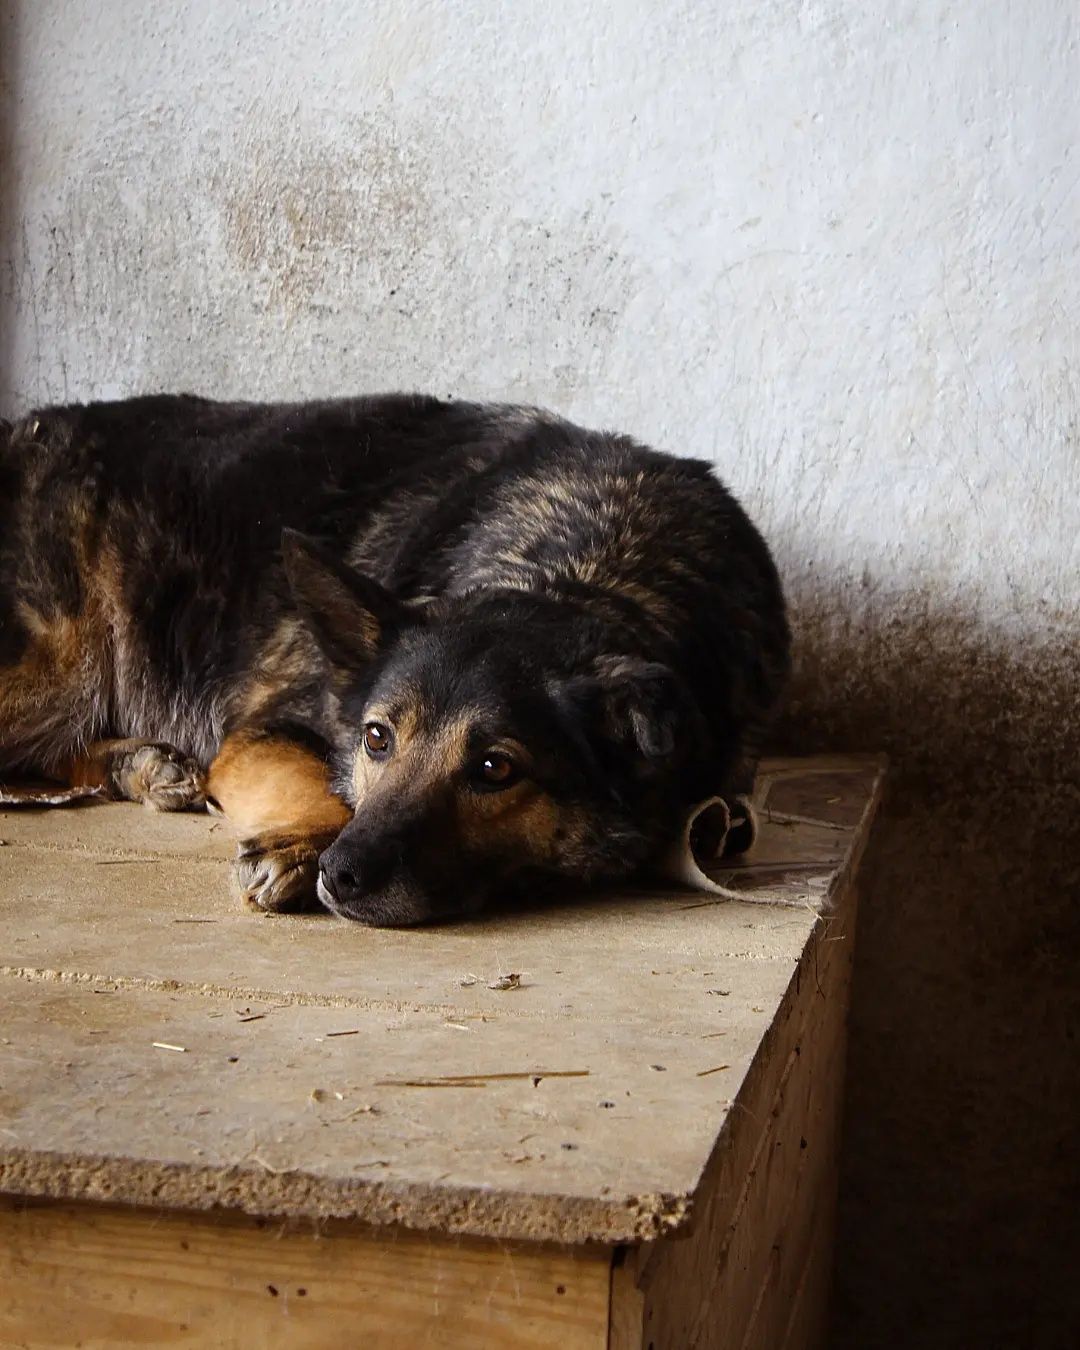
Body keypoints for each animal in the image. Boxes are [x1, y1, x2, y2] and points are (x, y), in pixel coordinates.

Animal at [0, 394, 793, 928]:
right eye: (377, 738)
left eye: (495, 769)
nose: (341, 874)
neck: (590, 566)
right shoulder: (264, 732)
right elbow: (315, 777)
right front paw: (298, 846)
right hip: (53, 669)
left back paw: (141, 765)